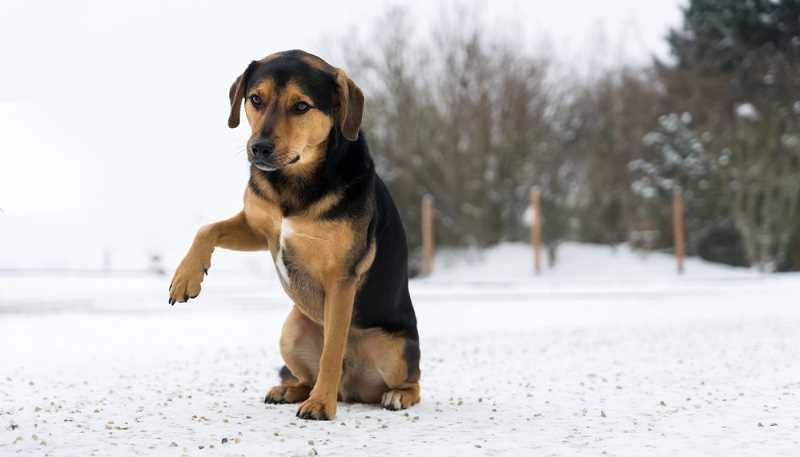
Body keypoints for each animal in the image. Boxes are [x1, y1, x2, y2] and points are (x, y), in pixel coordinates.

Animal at [166, 50, 422, 420]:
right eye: (255, 99)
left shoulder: (341, 277)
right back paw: (289, 389)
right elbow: (207, 229)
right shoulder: (260, 228)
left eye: (301, 106)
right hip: (292, 331)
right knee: (305, 374)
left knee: (413, 381)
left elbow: (332, 351)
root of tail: (353, 390)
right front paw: (185, 278)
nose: (259, 148)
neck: (295, 181)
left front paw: (320, 405)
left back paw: (392, 396)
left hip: (395, 348)